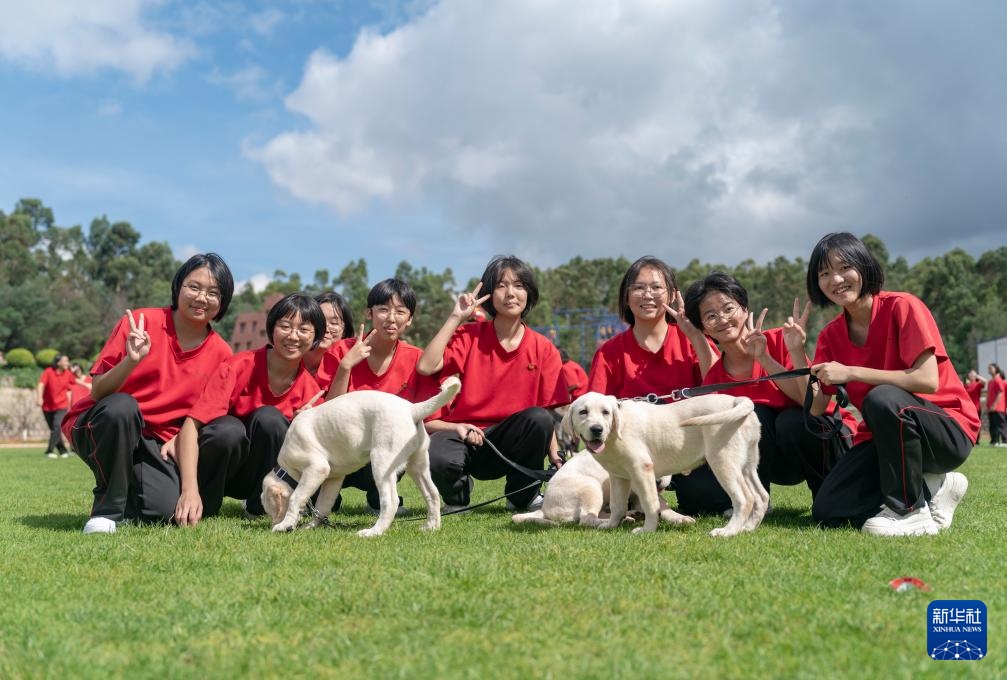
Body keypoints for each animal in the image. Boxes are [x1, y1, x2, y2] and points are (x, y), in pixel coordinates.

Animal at [261, 376, 461, 535]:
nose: (272, 524)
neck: (287, 469)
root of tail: (412, 410)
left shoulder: (317, 469)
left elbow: (296, 498)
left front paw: (284, 525)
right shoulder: (333, 479)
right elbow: (323, 505)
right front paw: (311, 526)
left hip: (382, 463)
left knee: (391, 501)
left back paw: (373, 532)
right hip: (418, 464)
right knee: (432, 493)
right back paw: (431, 527)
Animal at [563, 390, 765, 539]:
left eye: (606, 412)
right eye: (583, 412)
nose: (597, 429)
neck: (616, 430)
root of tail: (736, 401)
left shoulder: (641, 469)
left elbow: (650, 503)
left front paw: (647, 530)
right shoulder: (619, 476)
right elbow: (617, 505)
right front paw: (611, 525)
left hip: (723, 461)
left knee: (745, 498)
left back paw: (728, 531)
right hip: (747, 465)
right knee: (761, 496)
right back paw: (748, 528)